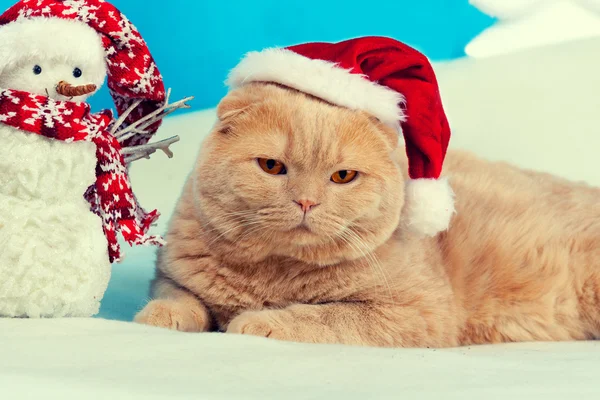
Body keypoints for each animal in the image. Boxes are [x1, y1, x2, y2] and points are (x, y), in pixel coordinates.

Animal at [135, 83, 600, 346]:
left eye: (342, 176)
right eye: (271, 166)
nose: (306, 201)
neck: (275, 274)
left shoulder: (415, 312)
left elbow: (324, 315)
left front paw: (260, 322)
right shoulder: (171, 274)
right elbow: (179, 298)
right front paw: (160, 317)